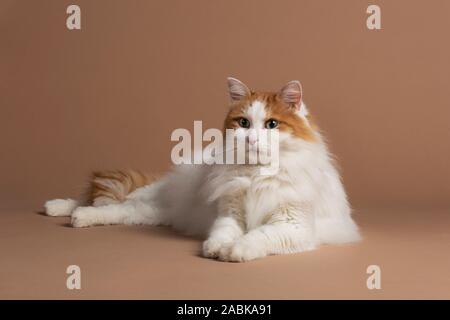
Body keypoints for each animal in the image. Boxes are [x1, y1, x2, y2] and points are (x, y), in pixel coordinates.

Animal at [45, 78, 360, 262]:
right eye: (244, 123)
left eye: (271, 124)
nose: (252, 139)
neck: (255, 174)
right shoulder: (229, 213)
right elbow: (223, 233)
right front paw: (217, 248)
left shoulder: (292, 225)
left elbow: (258, 236)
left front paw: (234, 251)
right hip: (150, 199)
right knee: (108, 202)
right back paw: (61, 208)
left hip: (152, 212)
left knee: (117, 210)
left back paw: (73, 215)